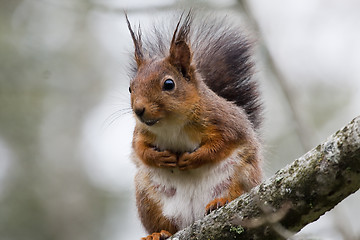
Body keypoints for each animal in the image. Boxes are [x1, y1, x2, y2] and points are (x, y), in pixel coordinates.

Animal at [125, 11, 262, 240]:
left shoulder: (225, 122)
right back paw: (158, 233)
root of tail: (193, 218)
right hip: (148, 198)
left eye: (169, 84)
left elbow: (222, 144)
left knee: (236, 194)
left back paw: (219, 203)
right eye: (130, 88)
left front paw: (194, 158)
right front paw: (160, 157)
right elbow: (139, 150)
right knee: (166, 225)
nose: (139, 110)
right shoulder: (141, 132)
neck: (171, 123)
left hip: (241, 177)